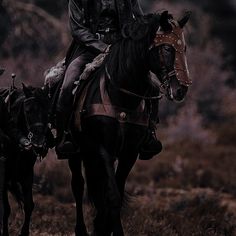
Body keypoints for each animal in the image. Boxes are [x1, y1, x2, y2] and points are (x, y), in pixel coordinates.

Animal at [0, 85, 53, 236]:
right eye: (28, 111)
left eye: (48, 112)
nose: (39, 142)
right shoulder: (3, 175)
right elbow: (6, 209)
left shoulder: (27, 174)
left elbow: (29, 205)